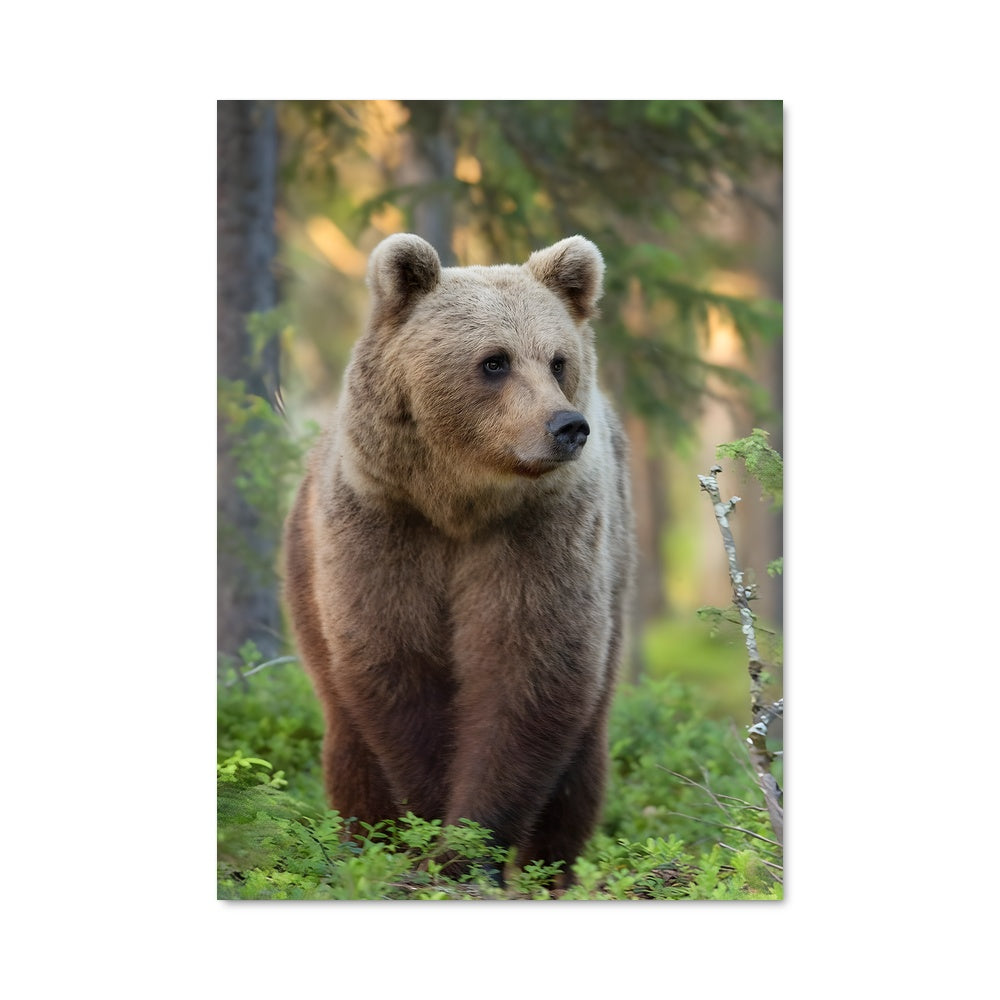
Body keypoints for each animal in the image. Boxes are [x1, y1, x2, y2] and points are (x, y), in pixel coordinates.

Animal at [283, 233, 634, 882]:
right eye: (494, 361)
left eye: (557, 360)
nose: (567, 426)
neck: (458, 504)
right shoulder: (383, 525)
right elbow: (396, 664)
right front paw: (429, 826)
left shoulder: (540, 533)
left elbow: (527, 671)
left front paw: (469, 847)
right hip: (304, 580)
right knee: (349, 746)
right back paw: (366, 845)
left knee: (582, 763)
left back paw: (552, 873)